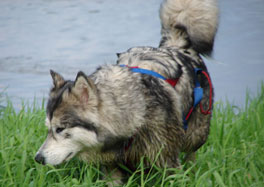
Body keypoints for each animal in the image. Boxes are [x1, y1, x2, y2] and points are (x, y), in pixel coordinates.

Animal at [34, 0, 218, 184]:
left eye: (60, 129)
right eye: (49, 128)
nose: (38, 158)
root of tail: (177, 44)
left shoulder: (168, 162)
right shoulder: (111, 166)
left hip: (195, 136)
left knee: (191, 153)